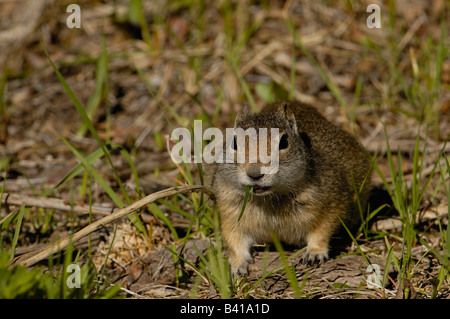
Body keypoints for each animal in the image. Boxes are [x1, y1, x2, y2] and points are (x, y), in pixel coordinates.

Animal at [207, 101, 372, 276]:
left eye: (284, 142)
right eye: (234, 142)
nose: (254, 174)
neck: (267, 199)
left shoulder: (332, 201)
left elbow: (322, 230)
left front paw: (315, 253)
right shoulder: (230, 212)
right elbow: (234, 240)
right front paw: (238, 265)